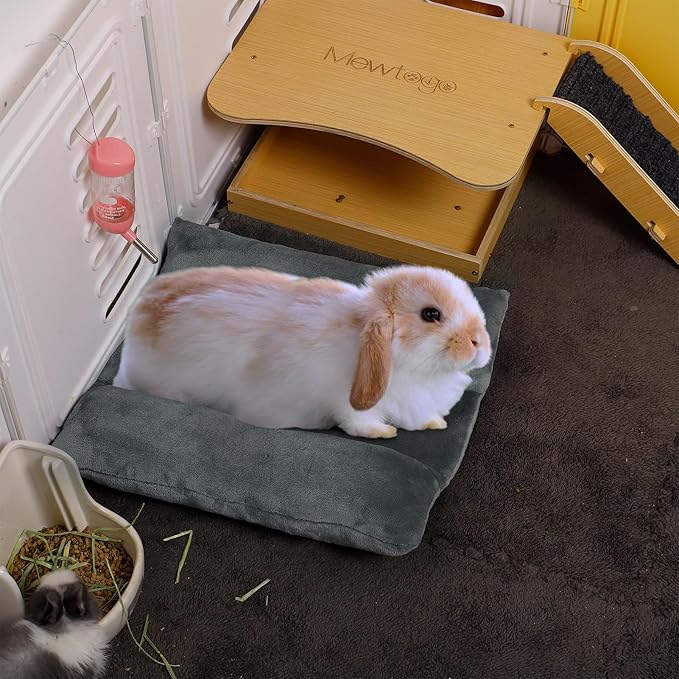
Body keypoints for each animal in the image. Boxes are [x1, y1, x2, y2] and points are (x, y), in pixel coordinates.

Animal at [113, 264, 492, 439]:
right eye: (431, 315)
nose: (480, 342)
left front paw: (437, 423)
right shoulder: (348, 405)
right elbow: (359, 422)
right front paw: (384, 433)